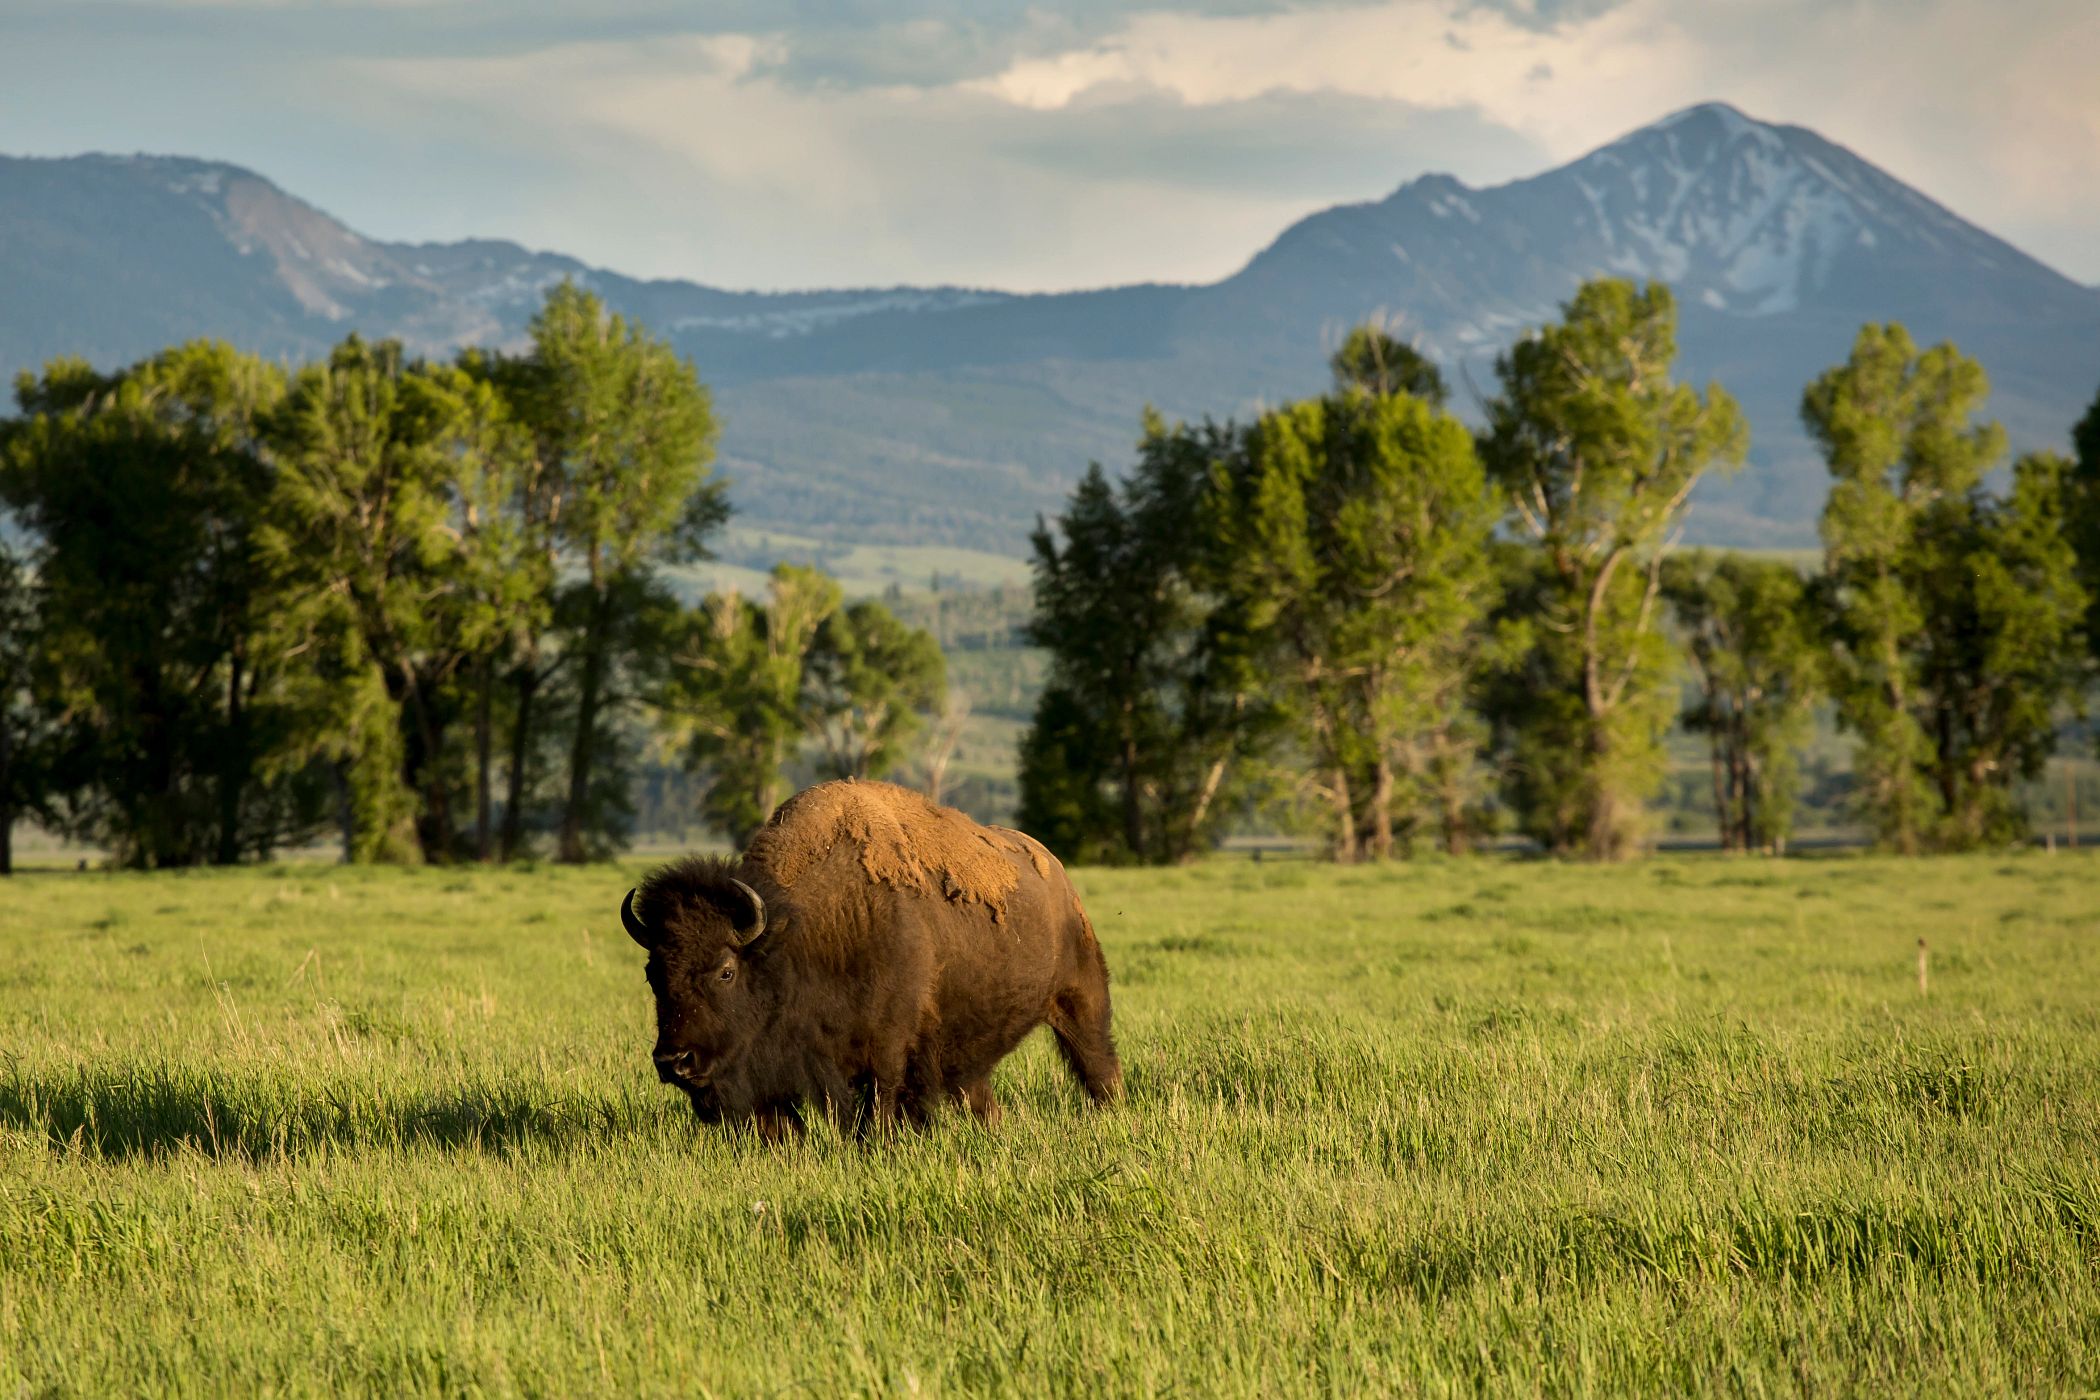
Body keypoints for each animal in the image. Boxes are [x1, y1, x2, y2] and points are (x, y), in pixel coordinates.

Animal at [617, 785, 1125, 1133]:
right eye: (652, 974)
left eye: (726, 970)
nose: (674, 1060)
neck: (798, 933)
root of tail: (1056, 872)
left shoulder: (888, 1050)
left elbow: (878, 1109)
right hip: (967, 1052)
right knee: (978, 1092)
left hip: (1081, 1000)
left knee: (1098, 1063)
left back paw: (1112, 1113)